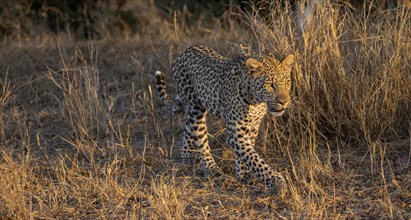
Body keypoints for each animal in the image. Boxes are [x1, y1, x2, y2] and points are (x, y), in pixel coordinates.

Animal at [155, 45, 296, 193]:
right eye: (270, 85)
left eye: (287, 83)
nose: (284, 102)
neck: (256, 101)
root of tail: (185, 51)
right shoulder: (236, 132)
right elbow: (253, 158)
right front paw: (276, 181)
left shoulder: (253, 126)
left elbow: (246, 152)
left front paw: (243, 174)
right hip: (195, 108)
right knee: (200, 138)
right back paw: (210, 168)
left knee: (188, 126)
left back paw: (186, 156)